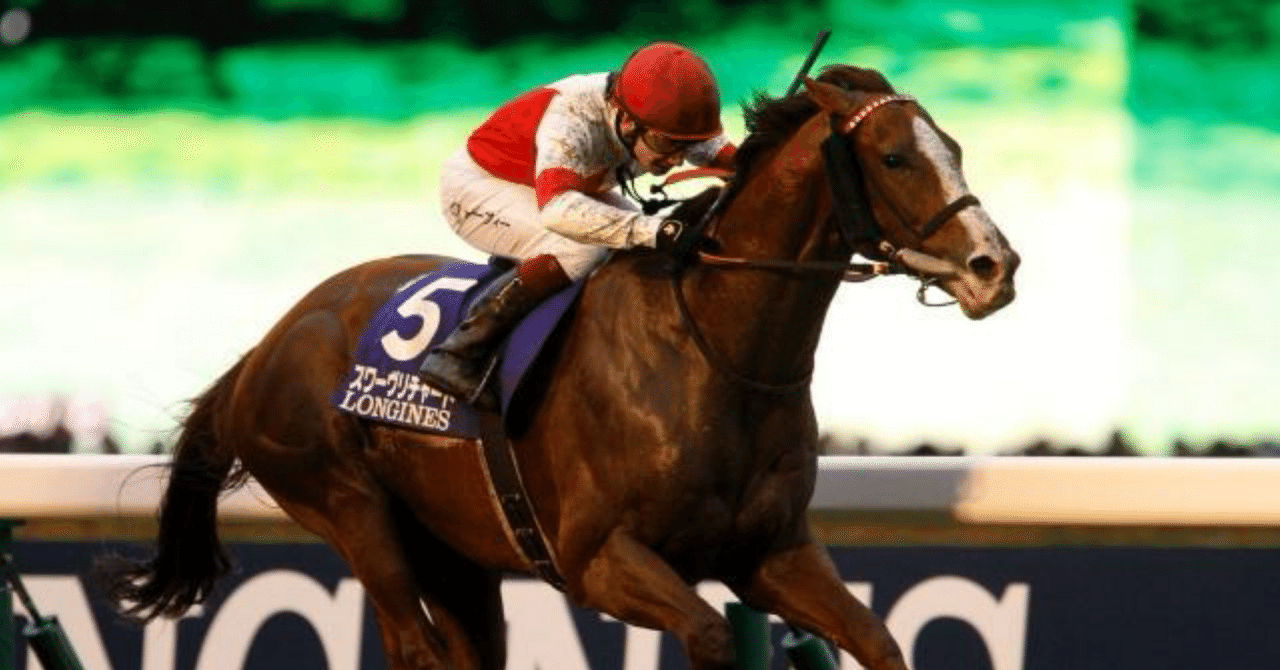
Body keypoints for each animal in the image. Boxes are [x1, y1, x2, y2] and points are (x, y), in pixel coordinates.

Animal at [104, 65, 1018, 670]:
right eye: (895, 158)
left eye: (954, 146)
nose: (993, 266)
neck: (714, 352)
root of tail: (267, 345)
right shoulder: (599, 560)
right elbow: (710, 633)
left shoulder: (772, 553)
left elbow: (879, 640)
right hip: (349, 508)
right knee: (412, 643)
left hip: (456, 549)